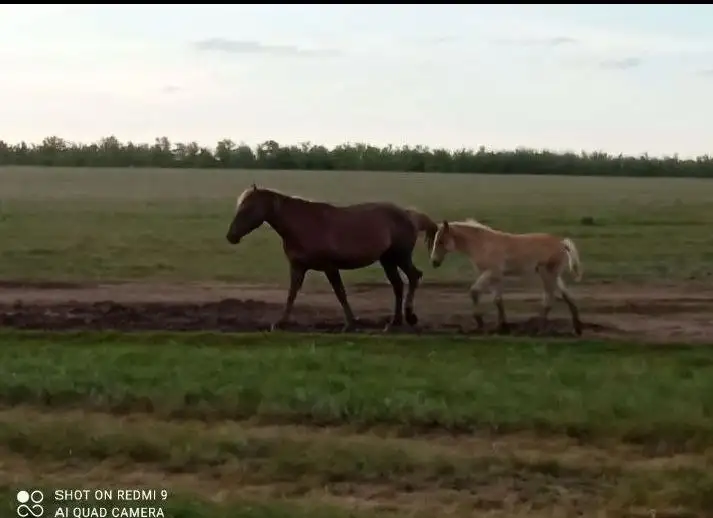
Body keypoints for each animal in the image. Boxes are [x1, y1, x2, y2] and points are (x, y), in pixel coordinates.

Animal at [225, 184, 438, 332]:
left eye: (248, 209)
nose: (231, 236)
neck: (301, 225)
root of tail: (409, 215)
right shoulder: (298, 267)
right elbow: (291, 294)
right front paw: (280, 323)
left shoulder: (329, 267)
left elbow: (340, 293)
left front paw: (350, 324)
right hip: (387, 260)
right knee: (398, 285)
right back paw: (395, 322)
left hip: (400, 257)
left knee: (413, 277)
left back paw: (409, 317)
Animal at [429, 219, 583, 335]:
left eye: (440, 241)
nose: (434, 262)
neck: (482, 244)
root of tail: (562, 243)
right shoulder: (495, 277)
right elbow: (497, 300)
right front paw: (502, 327)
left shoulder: (491, 272)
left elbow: (474, 291)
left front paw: (480, 323)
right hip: (554, 275)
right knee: (566, 296)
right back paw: (576, 329)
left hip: (547, 274)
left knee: (549, 299)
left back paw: (540, 329)